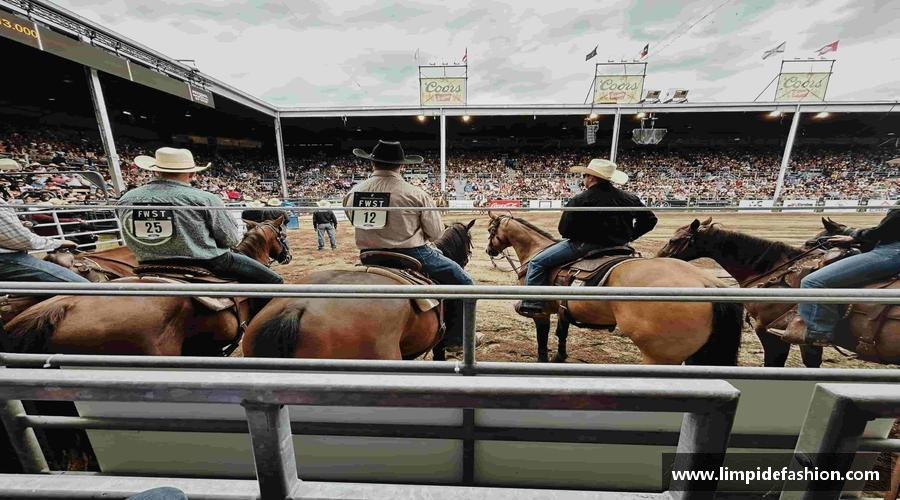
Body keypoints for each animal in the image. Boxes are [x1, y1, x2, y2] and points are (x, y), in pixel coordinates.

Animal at [488, 213, 740, 366]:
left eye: (491, 230)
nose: (489, 250)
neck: (536, 251)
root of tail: (707, 283)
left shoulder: (540, 312)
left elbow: (542, 338)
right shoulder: (563, 311)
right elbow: (562, 334)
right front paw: (560, 357)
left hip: (659, 356)